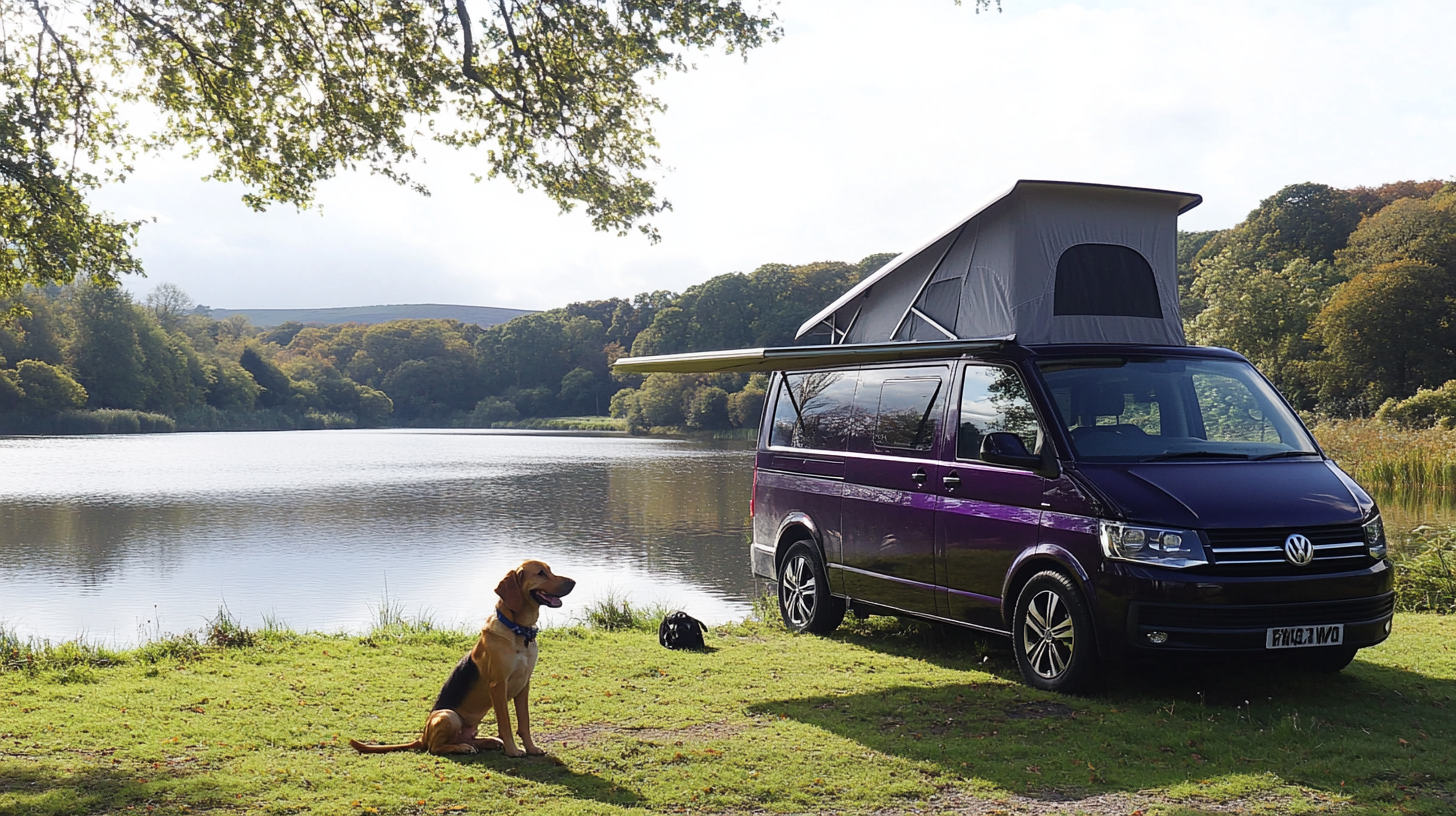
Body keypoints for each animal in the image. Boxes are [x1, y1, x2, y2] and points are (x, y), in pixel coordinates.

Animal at [347, 559, 573, 757]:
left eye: (549, 570)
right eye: (540, 573)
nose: (573, 582)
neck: (519, 631)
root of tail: (422, 736)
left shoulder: (524, 685)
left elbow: (524, 722)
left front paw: (531, 748)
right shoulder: (498, 685)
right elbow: (506, 723)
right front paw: (513, 751)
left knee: (468, 740)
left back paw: (486, 742)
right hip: (448, 716)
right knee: (435, 748)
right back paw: (463, 748)